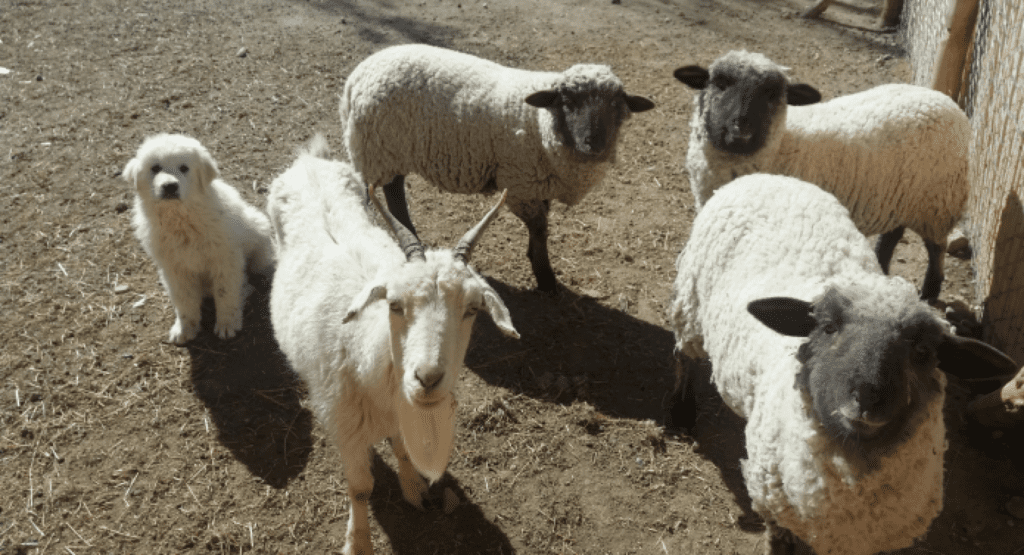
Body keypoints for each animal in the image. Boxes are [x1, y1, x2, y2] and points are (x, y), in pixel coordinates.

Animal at [122, 134, 274, 344]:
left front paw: (227, 324)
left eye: (184, 168)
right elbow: (184, 301)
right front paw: (185, 329)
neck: (181, 220)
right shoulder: (175, 269)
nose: (170, 186)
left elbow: (226, 294)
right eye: (155, 168)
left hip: (258, 232)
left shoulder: (225, 261)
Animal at [270, 136, 520, 555]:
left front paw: (413, 488)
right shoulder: (347, 426)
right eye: (394, 304)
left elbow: (403, 447)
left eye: (472, 309)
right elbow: (360, 488)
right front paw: (358, 541)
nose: (428, 378)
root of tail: (308, 161)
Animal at [337, 43, 655, 292]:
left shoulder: (539, 185)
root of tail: (357, 76)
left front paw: (538, 263)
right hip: (379, 152)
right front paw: (545, 277)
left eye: (616, 104)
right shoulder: (518, 185)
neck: (539, 123)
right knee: (393, 196)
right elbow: (540, 227)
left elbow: (542, 224)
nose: (594, 144)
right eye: (567, 101)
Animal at [663, 175, 1015, 555]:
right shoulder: (772, 502)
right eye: (829, 327)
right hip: (691, 309)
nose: (867, 395)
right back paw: (681, 412)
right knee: (682, 355)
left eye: (922, 350)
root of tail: (767, 177)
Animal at [675, 50, 970, 303]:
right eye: (720, 84)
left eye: (772, 94)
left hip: (937, 204)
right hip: (903, 198)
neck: (782, 145)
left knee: (936, 249)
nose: (741, 126)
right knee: (893, 235)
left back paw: (930, 291)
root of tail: (945, 100)